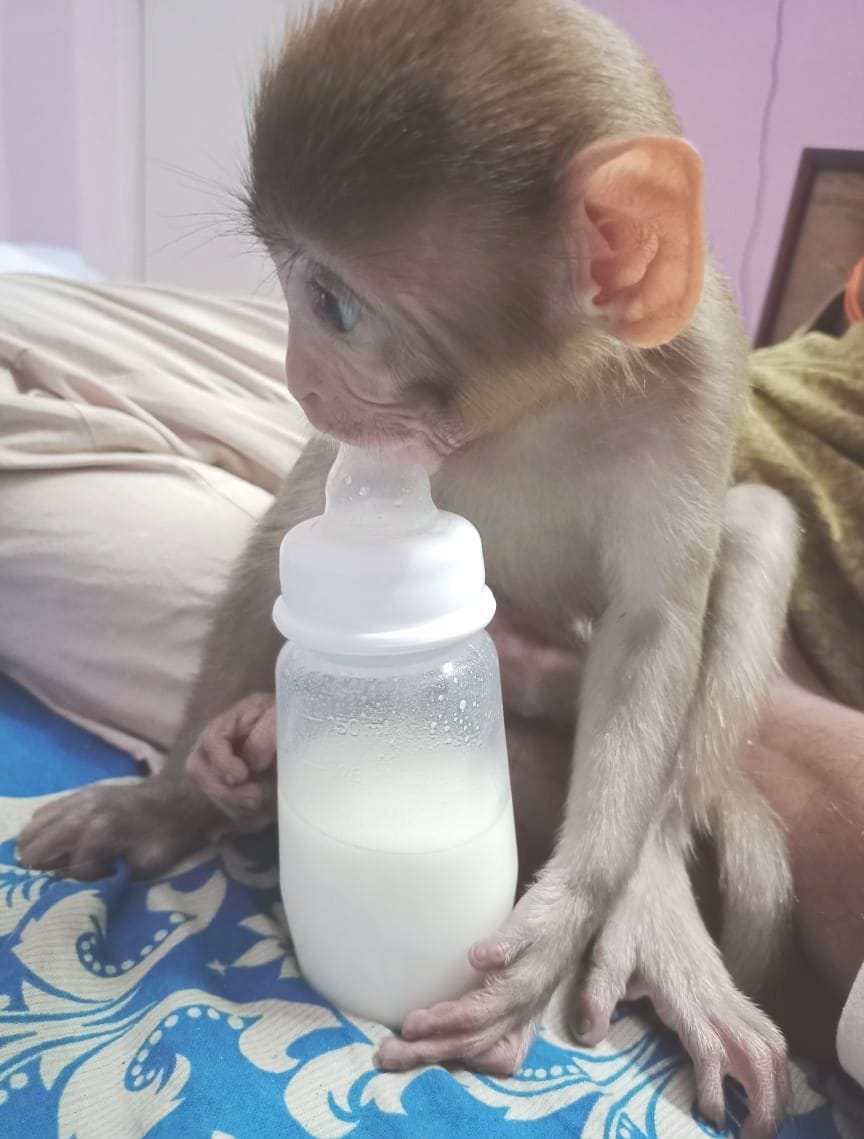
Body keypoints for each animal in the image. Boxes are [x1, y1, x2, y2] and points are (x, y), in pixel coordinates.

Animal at [18, 1, 798, 1132]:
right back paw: (245, 757)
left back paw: (647, 887)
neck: (546, 394)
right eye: (285, 280)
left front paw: (557, 924)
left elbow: (653, 629)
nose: (296, 376)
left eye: (335, 306)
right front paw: (177, 790)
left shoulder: (703, 375)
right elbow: (287, 531)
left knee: (756, 532)